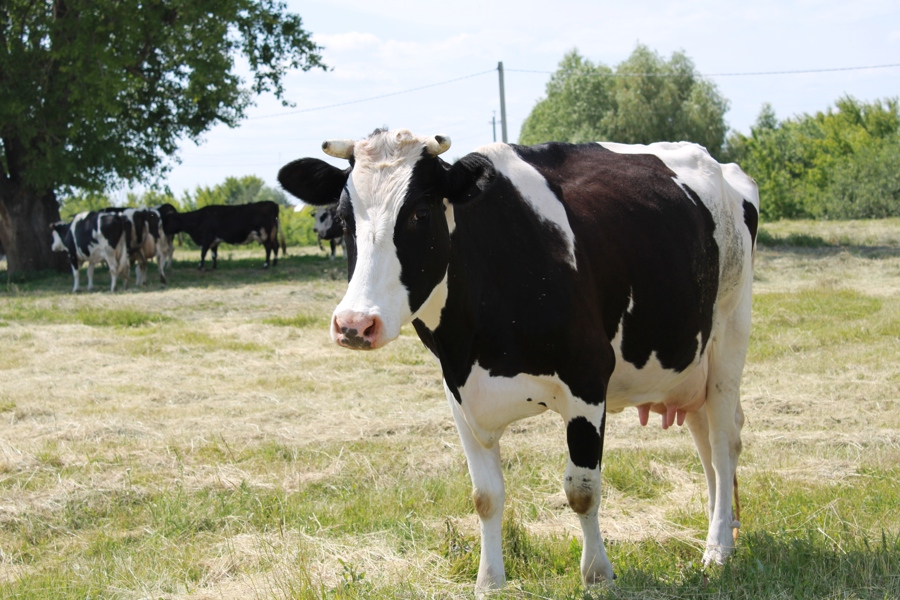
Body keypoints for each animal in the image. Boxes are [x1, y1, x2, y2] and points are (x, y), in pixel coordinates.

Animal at [278, 129, 756, 592]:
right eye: (343, 220)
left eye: (419, 214)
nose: (355, 324)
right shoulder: (459, 393)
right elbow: (485, 496)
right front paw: (489, 580)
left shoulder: (587, 377)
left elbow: (582, 489)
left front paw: (597, 573)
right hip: (689, 366)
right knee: (705, 444)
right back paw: (721, 530)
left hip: (729, 338)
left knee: (722, 444)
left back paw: (717, 549)